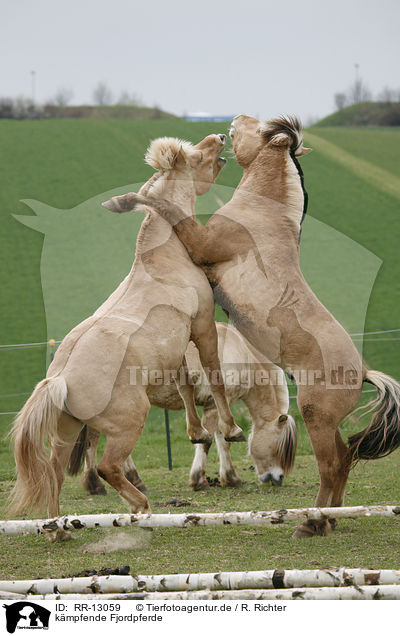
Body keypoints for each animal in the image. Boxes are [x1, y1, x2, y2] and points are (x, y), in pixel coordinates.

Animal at [9, 133, 245, 536]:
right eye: (196, 157)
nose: (219, 138)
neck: (163, 259)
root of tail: (59, 379)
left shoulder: (176, 345)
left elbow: (185, 384)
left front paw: (197, 432)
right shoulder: (201, 326)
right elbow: (213, 375)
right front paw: (231, 429)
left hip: (67, 431)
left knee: (55, 470)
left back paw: (58, 529)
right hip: (129, 422)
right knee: (107, 466)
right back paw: (140, 507)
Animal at [72, 322, 296, 492]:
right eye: (279, 446)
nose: (279, 478)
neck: (241, 352)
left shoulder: (216, 408)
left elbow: (222, 440)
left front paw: (230, 478)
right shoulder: (213, 405)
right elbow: (209, 442)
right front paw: (199, 480)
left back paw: (132, 480)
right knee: (93, 439)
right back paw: (96, 484)